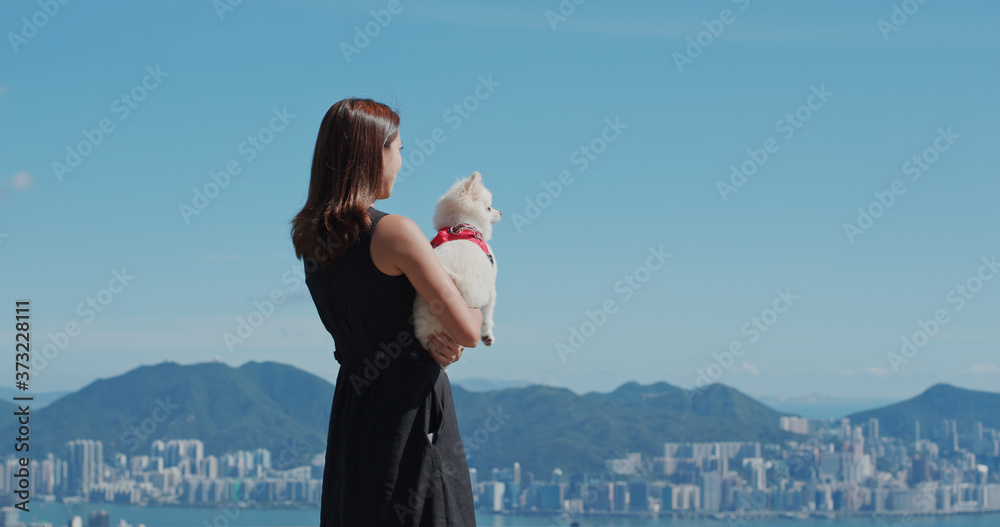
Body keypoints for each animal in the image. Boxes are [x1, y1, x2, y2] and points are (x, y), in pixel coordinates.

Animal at [412, 170, 500, 364]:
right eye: (489, 208)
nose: (501, 212)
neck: (461, 226)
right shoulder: (491, 289)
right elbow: (488, 316)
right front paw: (487, 335)